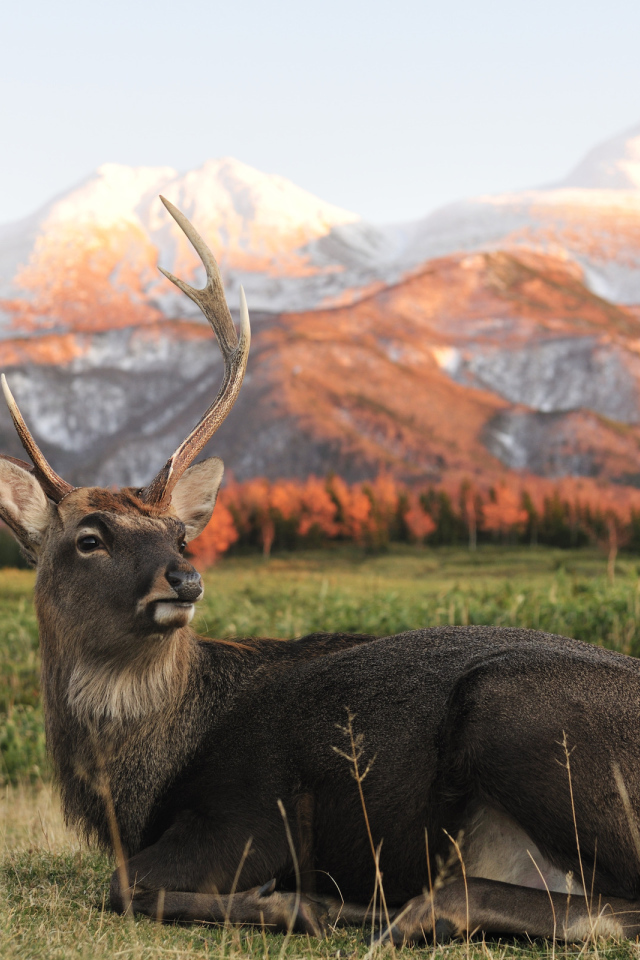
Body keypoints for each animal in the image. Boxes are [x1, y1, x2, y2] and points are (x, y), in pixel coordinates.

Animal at [3, 197, 640, 944]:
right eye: (89, 538)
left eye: (178, 535)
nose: (184, 580)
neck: (137, 787)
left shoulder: (254, 813)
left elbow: (125, 885)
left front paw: (285, 900)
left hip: (515, 710)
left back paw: (361, 907)